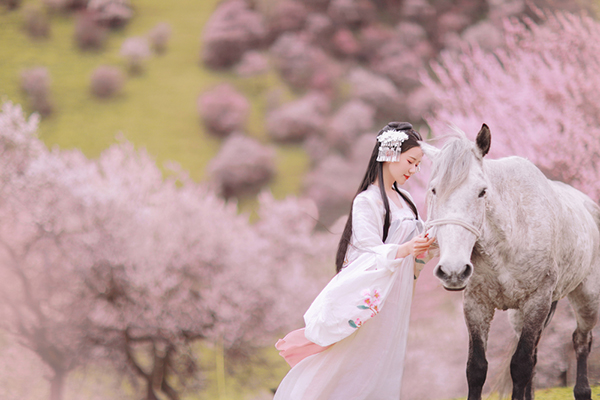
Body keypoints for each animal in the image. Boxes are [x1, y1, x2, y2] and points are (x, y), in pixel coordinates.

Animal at [422, 123, 600, 398]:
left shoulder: (537, 301)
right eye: (434, 190)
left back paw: (582, 390)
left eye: (482, 192)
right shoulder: (476, 305)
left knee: (581, 341)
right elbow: (476, 368)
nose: (453, 271)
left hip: (586, 298)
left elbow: (520, 365)